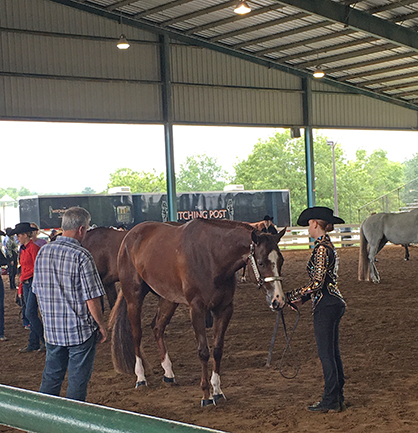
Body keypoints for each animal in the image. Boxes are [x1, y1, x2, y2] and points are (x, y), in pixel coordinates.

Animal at [110, 219, 288, 404]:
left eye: (281, 260)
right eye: (260, 262)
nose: (278, 300)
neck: (212, 257)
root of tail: (129, 235)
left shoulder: (224, 309)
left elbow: (217, 350)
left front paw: (217, 391)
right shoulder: (197, 309)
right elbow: (203, 352)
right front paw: (206, 395)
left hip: (168, 299)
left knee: (158, 328)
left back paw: (168, 374)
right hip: (134, 298)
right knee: (136, 334)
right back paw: (141, 378)